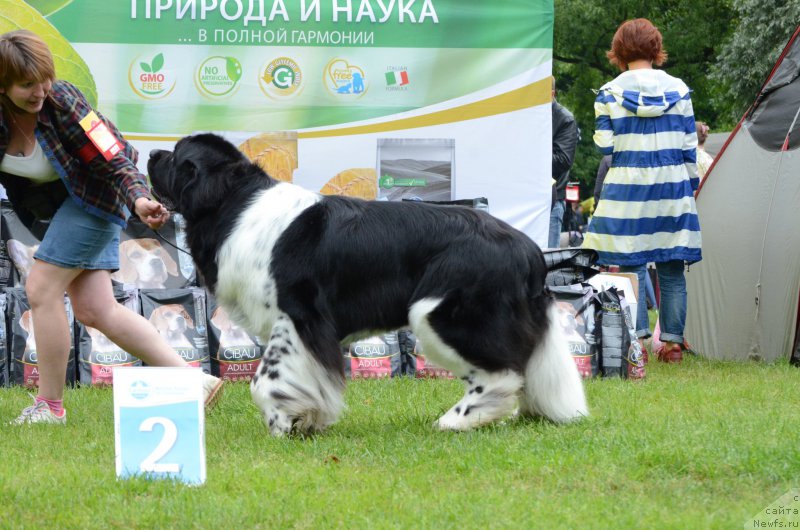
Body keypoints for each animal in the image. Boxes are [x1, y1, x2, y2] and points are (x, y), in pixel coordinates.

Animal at [148, 134, 588, 436]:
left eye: (178, 156)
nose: (150, 154)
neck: (234, 204)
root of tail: (529, 249)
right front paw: (310, 419)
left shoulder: (297, 317)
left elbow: (267, 380)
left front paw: (283, 423)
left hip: (442, 313)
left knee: (501, 373)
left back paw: (455, 420)